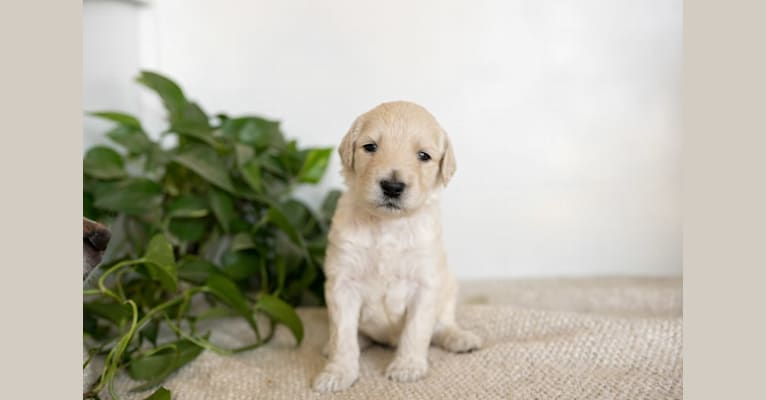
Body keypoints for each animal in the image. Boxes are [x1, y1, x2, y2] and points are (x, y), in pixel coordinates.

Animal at [312, 101, 480, 392]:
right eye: (370, 147)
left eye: (424, 156)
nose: (392, 186)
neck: (388, 225)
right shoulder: (342, 283)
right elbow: (343, 335)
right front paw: (338, 373)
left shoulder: (425, 283)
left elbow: (416, 330)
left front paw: (407, 367)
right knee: (354, 334)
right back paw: (333, 346)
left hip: (449, 287)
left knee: (443, 324)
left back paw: (459, 338)